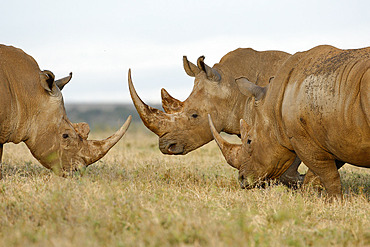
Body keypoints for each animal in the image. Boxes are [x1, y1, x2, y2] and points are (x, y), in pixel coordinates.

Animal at [210, 44, 368, 199]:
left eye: (249, 141)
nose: (242, 180)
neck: (273, 105)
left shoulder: (302, 138)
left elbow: (327, 175)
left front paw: (333, 201)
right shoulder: (337, 138)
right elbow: (317, 175)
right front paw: (308, 197)